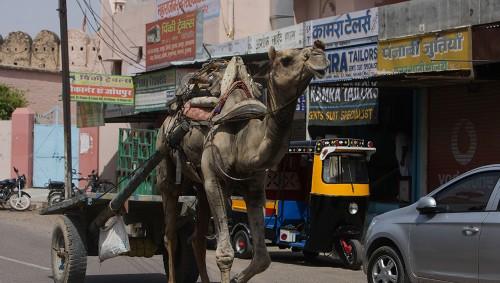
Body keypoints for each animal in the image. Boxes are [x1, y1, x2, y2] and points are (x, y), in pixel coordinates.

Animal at [156, 40, 328, 283]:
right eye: (286, 60)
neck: (243, 140)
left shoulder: (254, 187)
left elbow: (263, 258)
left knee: (197, 238)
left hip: (200, 186)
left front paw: (237, 278)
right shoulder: (215, 180)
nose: (319, 53)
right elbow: (225, 254)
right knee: (170, 233)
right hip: (166, 164)